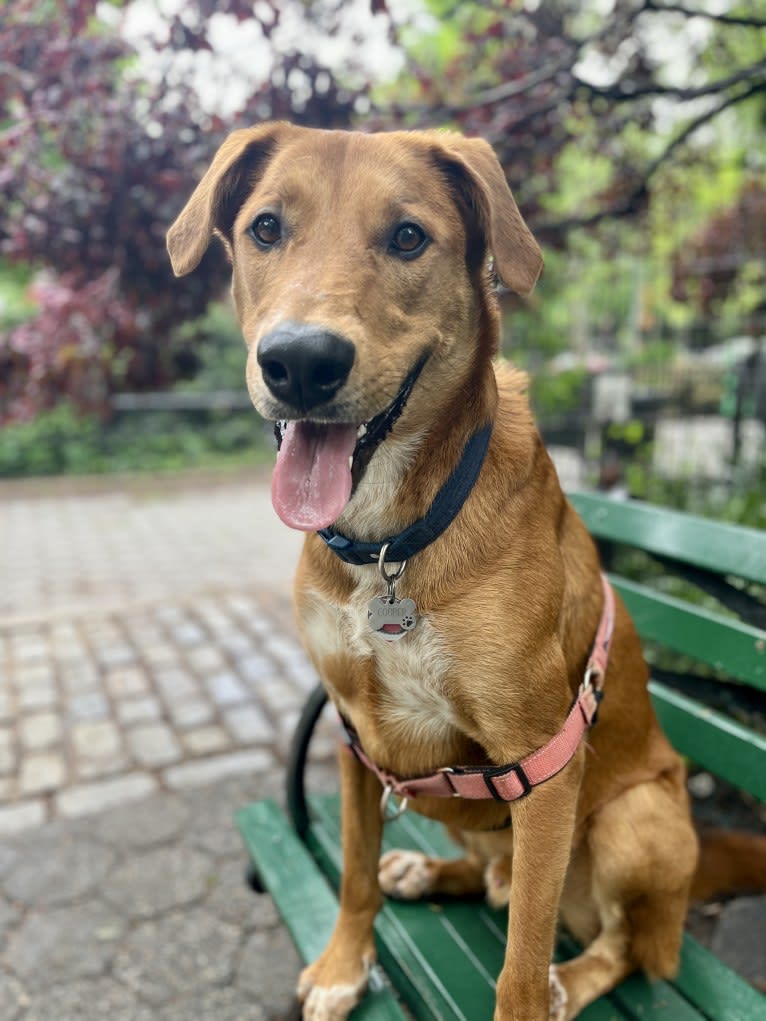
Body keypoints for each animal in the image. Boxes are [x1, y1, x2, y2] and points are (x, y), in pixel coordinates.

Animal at [169, 125, 719, 1021]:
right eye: (265, 228)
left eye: (407, 237)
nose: (300, 363)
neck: (389, 543)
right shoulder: (355, 735)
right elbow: (355, 872)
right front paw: (343, 963)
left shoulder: (543, 765)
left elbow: (520, 965)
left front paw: (533, 988)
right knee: (493, 877)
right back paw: (431, 869)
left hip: (637, 820)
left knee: (626, 945)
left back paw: (575, 976)